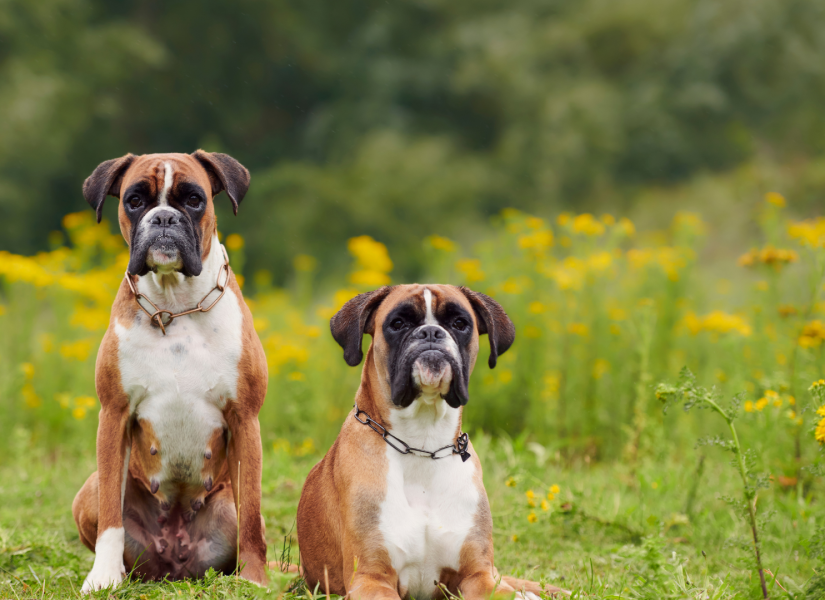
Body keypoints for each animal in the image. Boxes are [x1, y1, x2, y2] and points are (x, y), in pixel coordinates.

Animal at [71, 152, 268, 592]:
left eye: (193, 199)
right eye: (135, 200)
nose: (163, 217)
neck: (175, 306)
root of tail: (173, 566)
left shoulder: (245, 418)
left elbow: (252, 514)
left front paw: (254, 580)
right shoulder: (113, 416)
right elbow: (111, 516)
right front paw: (103, 576)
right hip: (88, 490)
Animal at [296, 286, 568, 600]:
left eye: (459, 323)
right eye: (398, 323)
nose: (430, 333)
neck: (423, 445)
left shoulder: (478, 575)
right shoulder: (370, 577)